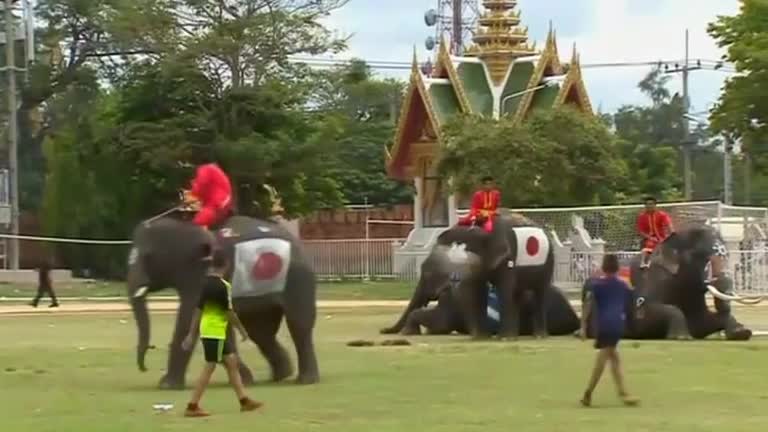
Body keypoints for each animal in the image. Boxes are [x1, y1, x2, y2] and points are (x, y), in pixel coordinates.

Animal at [127, 215, 318, 388]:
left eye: (149, 256)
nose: (145, 368)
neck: (184, 226)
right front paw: (244, 379)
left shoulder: (201, 277)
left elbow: (190, 318)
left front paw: (166, 385)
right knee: (260, 331)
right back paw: (281, 376)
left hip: (297, 278)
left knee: (298, 325)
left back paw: (305, 380)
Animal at [584, 226, 760, 340]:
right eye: (701, 255)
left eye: (727, 255)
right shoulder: (653, 280)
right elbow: (646, 314)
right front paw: (682, 337)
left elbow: (701, 323)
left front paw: (742, 332)